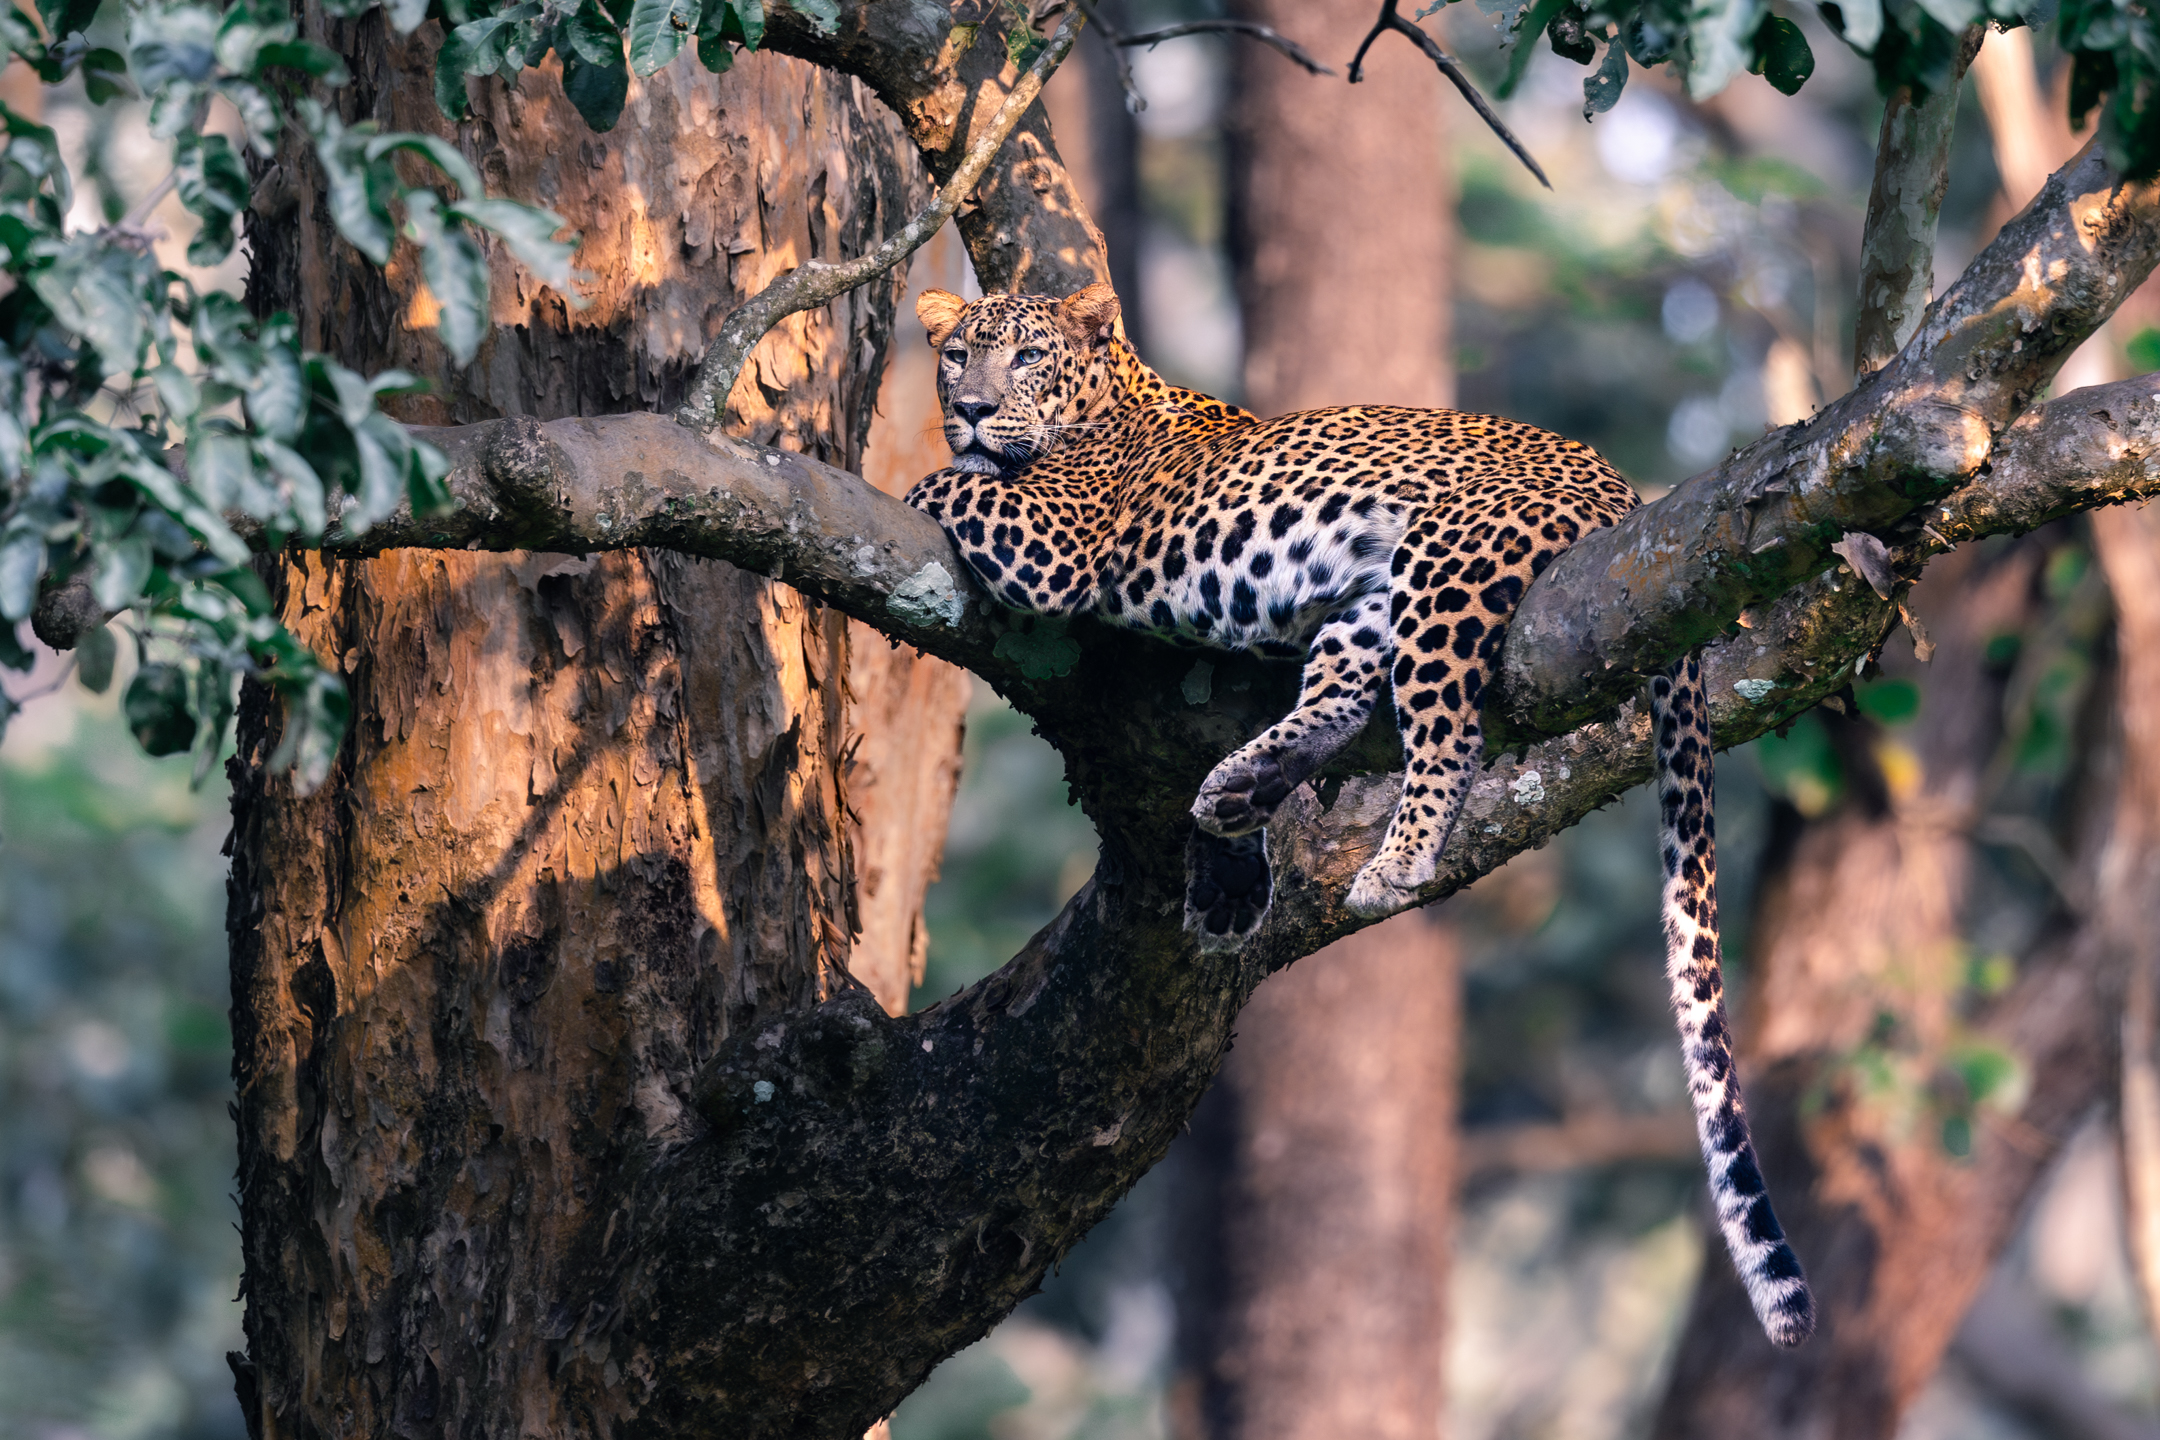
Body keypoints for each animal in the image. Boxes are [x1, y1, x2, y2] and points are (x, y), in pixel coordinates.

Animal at [903, 281, 1815, 1349]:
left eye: (1028, 358)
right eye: (956, 354)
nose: (969, 407)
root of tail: (1626, 492)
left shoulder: (1054, 540)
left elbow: (958, 486)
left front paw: (919, 473)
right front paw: (1229, 878)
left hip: (1448, 568)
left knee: (1449, 732)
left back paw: (1397, 859)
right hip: (1367, 600)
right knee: (1340, 698)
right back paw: (1240, 787)